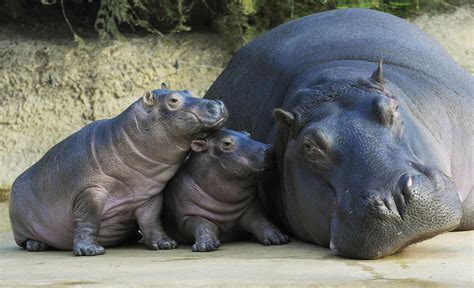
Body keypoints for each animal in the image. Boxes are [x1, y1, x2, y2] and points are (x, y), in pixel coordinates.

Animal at [9, 84, 228, 256]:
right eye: (173, 100)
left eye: (188, 91)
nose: (218, 102)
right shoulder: (90, 190)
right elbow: (88, 219)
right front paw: (90, 251)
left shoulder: (149, 194)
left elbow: (151, 220)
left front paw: (165, 244)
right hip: (22, 227)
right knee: (25, 240)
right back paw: (37, 245)